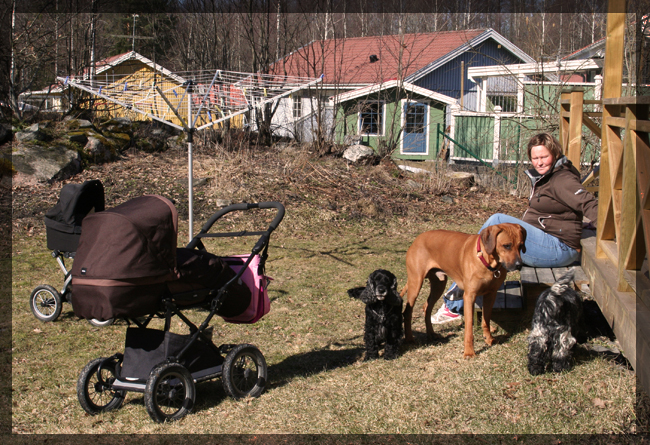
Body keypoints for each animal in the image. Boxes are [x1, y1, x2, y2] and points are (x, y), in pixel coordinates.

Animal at [398, 222, 524, 358]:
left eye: (521, 245)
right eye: (506, 245)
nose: (519, 265)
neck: (486, 259)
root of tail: (417, 239)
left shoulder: (491, 295)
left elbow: (486, 320)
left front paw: (489, 339)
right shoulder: (469, 296)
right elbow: (469, 327)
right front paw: (469, 352)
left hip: (439, 284)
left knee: (427, 307)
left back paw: (431, 334)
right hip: (416, 282)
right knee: (408, 311)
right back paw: (409, 339)